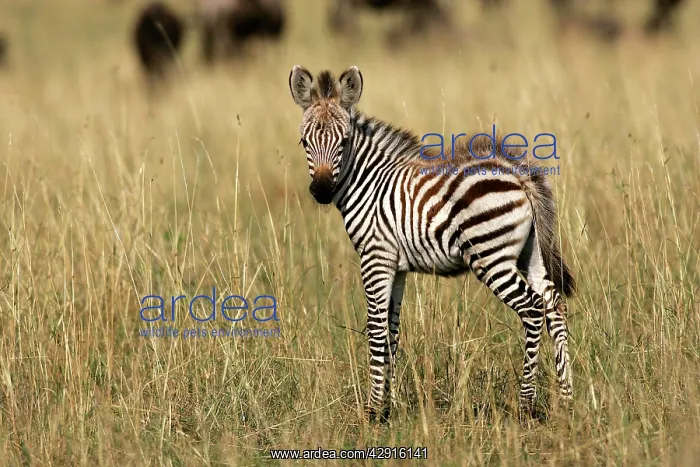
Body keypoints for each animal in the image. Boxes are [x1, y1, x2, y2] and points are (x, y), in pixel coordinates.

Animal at [288, 65, 576, 421]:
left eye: (343, 142)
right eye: (304, 142)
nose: (322, 191)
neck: (368, 182)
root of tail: (518, 172)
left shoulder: (375, 257)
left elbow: (375, 328)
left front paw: (372, 411)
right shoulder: (396, 266)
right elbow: (392, 330)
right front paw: (388, 407)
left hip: (490, 255)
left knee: (533, 308)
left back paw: (525, 405)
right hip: (530, 253)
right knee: (554, 306)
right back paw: (567, 400)